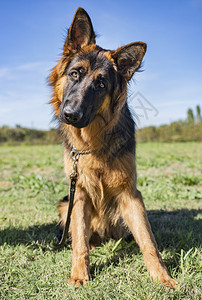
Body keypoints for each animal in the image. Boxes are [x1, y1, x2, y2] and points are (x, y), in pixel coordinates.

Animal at [48, 7, 177, 288]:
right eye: (75, 74)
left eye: (101, 84)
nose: (71, 115)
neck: (92, 143)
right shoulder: (79, 193)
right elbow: (80, 241)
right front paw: (79, 274)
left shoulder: (131, 195)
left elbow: (148, 242)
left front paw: (162, 276)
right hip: (65, 204)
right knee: (82, 236)